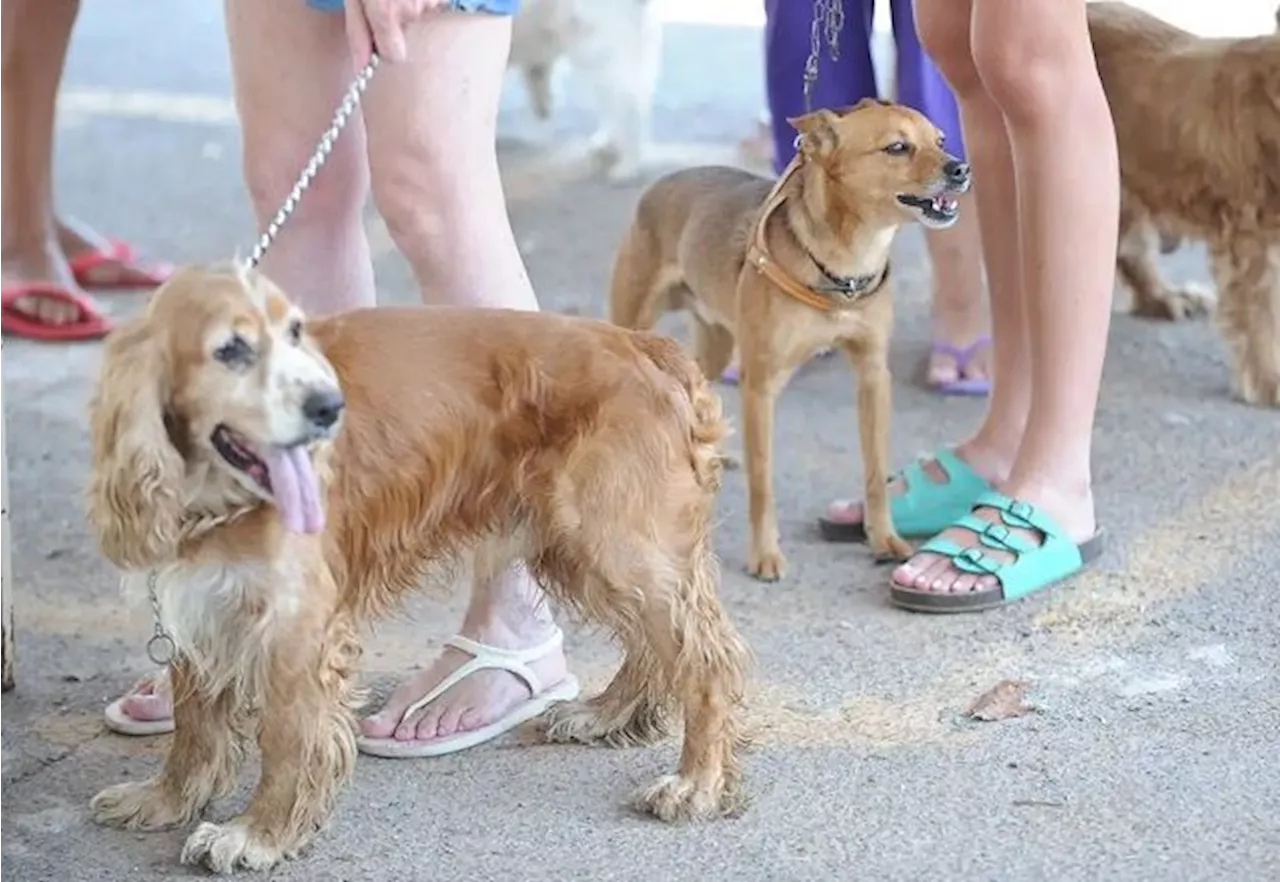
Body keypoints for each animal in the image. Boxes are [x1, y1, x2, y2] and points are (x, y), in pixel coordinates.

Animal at [85, 263, 752, 875]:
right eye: (230, 349)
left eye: (295, 333)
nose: (330, 408)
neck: (217, 495)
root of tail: (645, 346)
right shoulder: (202, 605)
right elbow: (194, 727)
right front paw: (165, 799)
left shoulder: (298, 627)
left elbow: (287, 738)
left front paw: (258, 834)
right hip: (585, 547)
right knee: (655, 645)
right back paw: (607, 714)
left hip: (613, 540)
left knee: (706, 660)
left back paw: (696, 783)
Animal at [609, 99, 967, 581]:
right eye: (897, 147)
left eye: (941, 140)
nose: (961, 168)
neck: (845, 265)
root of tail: (661, 183)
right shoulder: (760, 387)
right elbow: (763, 483)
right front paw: (764, 554)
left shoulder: (873, 375)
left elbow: (875, 471)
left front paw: (883, 537)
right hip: (636, 323)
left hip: (717, 345)